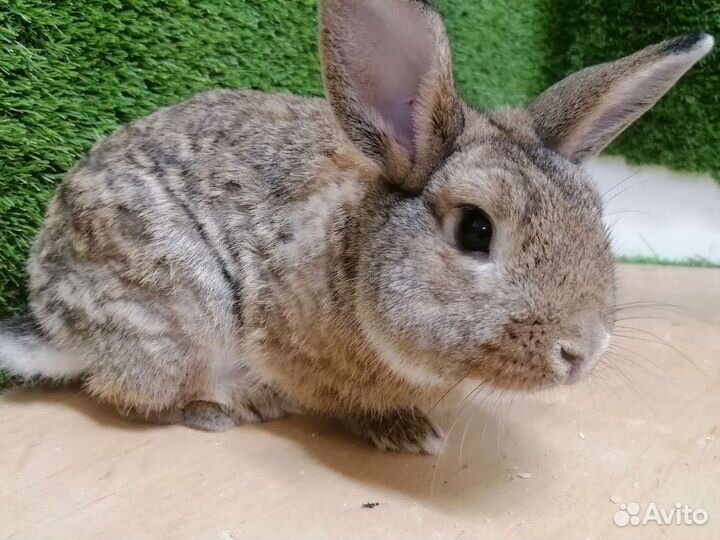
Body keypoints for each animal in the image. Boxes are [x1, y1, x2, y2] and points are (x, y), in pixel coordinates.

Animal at [0, 0, 713, 454]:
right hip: (178, 311)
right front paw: (410, 434)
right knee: (131, 391)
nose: (584, 350)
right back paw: (229, 407)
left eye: (594, 219)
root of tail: (58, 329)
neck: (352, 252)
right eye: (475, 230)